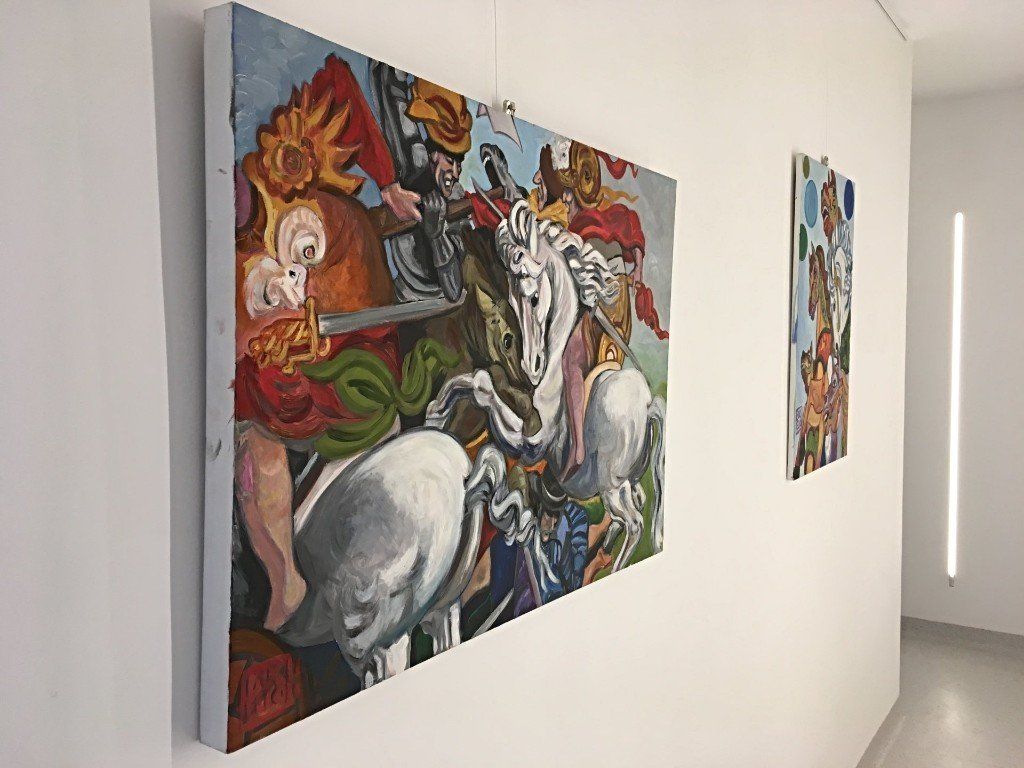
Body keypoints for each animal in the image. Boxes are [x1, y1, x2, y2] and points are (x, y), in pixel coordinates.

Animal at [426, 200, 666, 571]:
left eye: (535, 298)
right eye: (512, 299)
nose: (531, 365)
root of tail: (647, 405)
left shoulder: (531, 442)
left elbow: (483, 386)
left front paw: (436, 412)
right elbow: (482, 379)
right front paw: (437, 412)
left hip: (612, 487)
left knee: (635, 523)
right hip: (626, 482)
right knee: (635, 507)